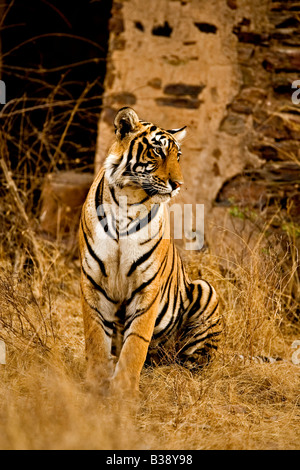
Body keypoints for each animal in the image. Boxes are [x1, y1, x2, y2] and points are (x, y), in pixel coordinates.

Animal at [78, 106, 221, 392]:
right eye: (157, 152)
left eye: (178, 156)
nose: (178, 184)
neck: (127, 202)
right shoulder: (92, 281)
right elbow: (96, 339)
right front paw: (95, 385)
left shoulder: (147, 287)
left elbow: (136, 343)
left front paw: (123, 393)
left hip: (206, 290)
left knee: (192, 362)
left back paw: (175, 374)